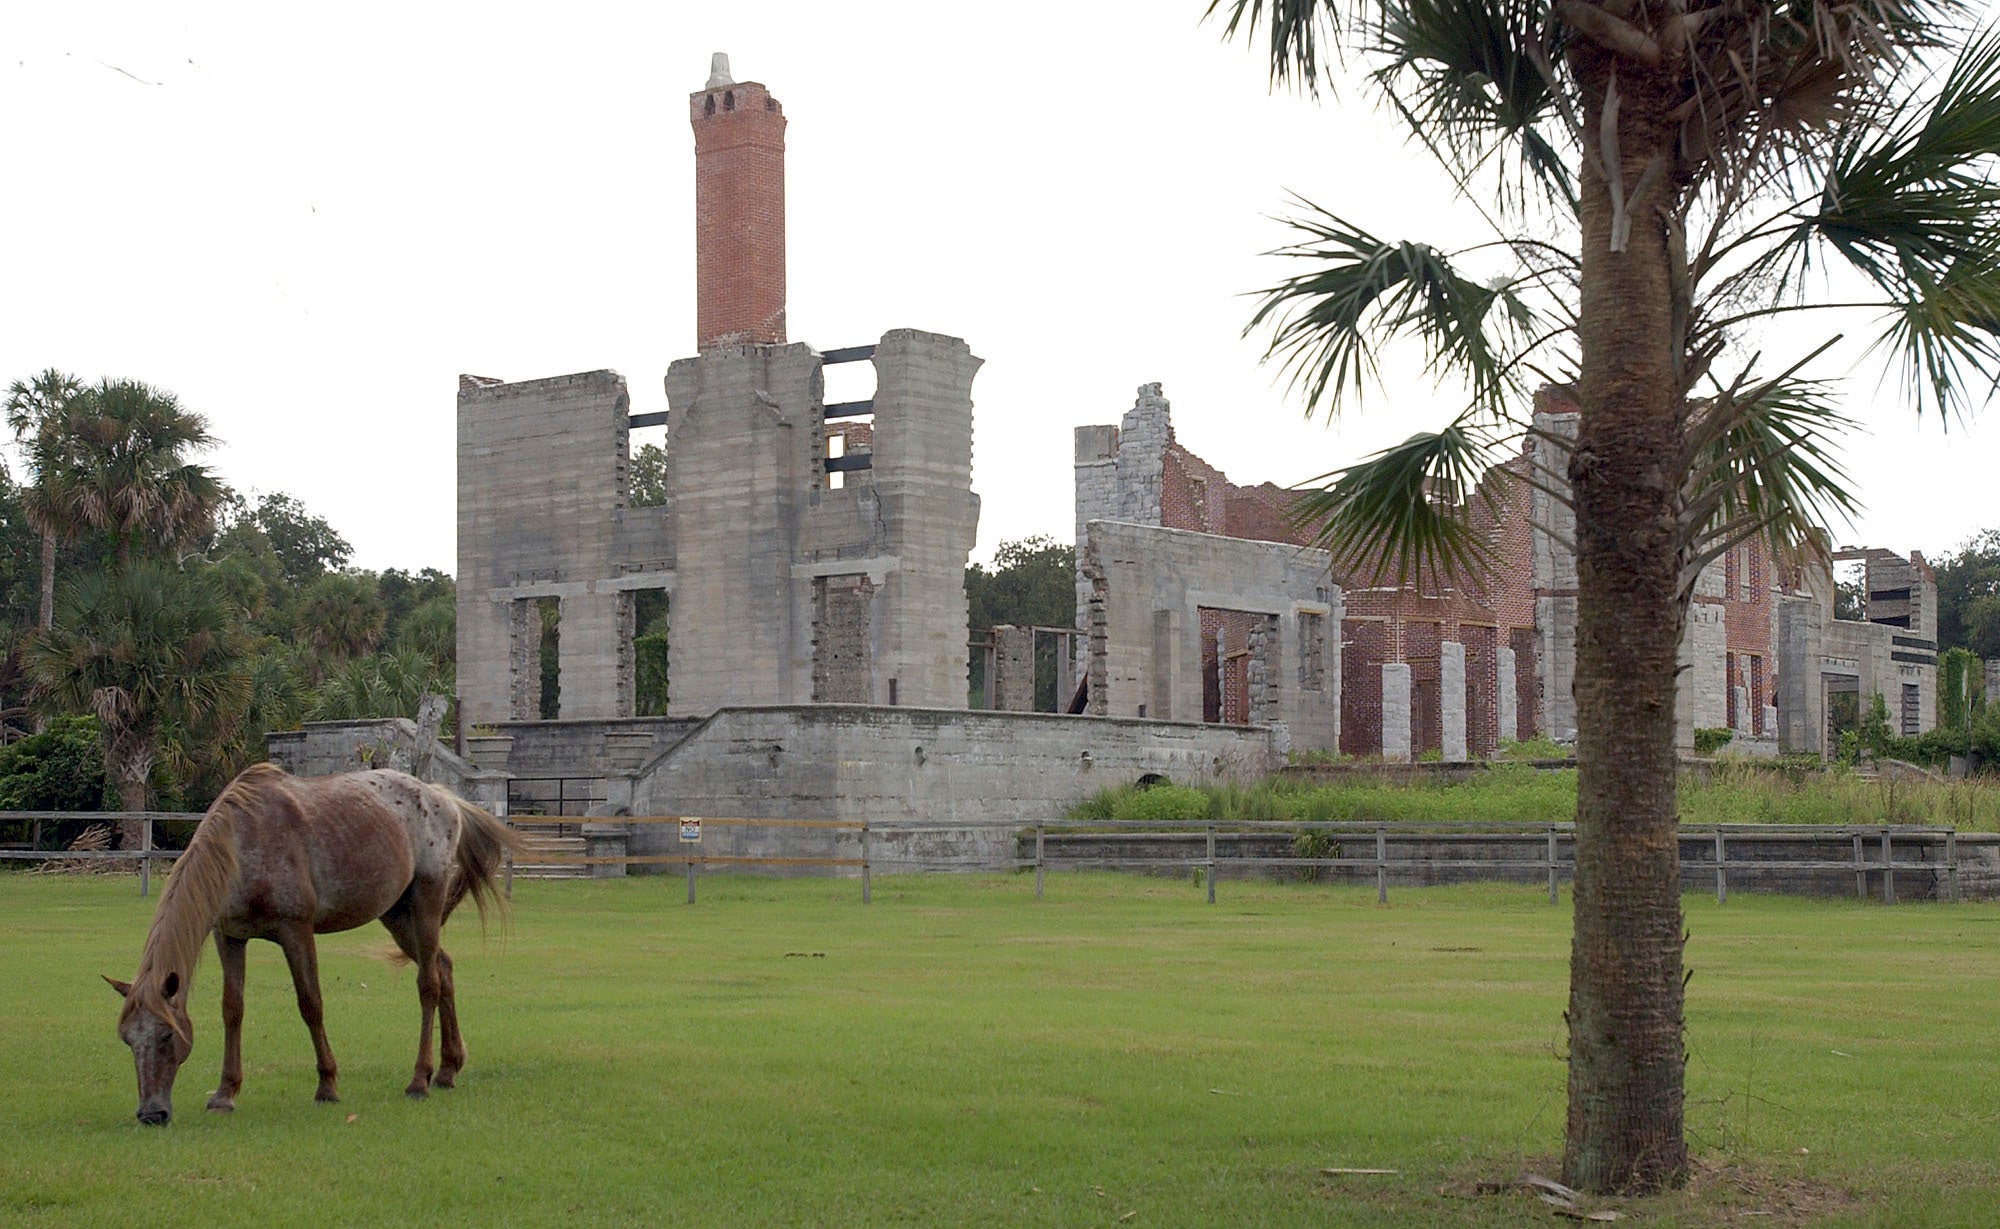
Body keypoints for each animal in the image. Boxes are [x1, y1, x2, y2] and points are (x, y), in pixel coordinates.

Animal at [105, 764, 520, 1128]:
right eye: (127, 1040)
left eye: (166, 1035)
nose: (151, 1114)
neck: (242, 843)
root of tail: (442, 797)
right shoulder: (230, 937)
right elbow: (232, 1009)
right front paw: (225, 1093)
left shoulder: (296, 931)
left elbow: (311, 1004)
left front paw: (327, 1085)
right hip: (397, 916)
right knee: (443, 968)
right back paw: (448, 1069)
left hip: (426, 902)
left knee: (428, 985)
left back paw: (420, 1080)